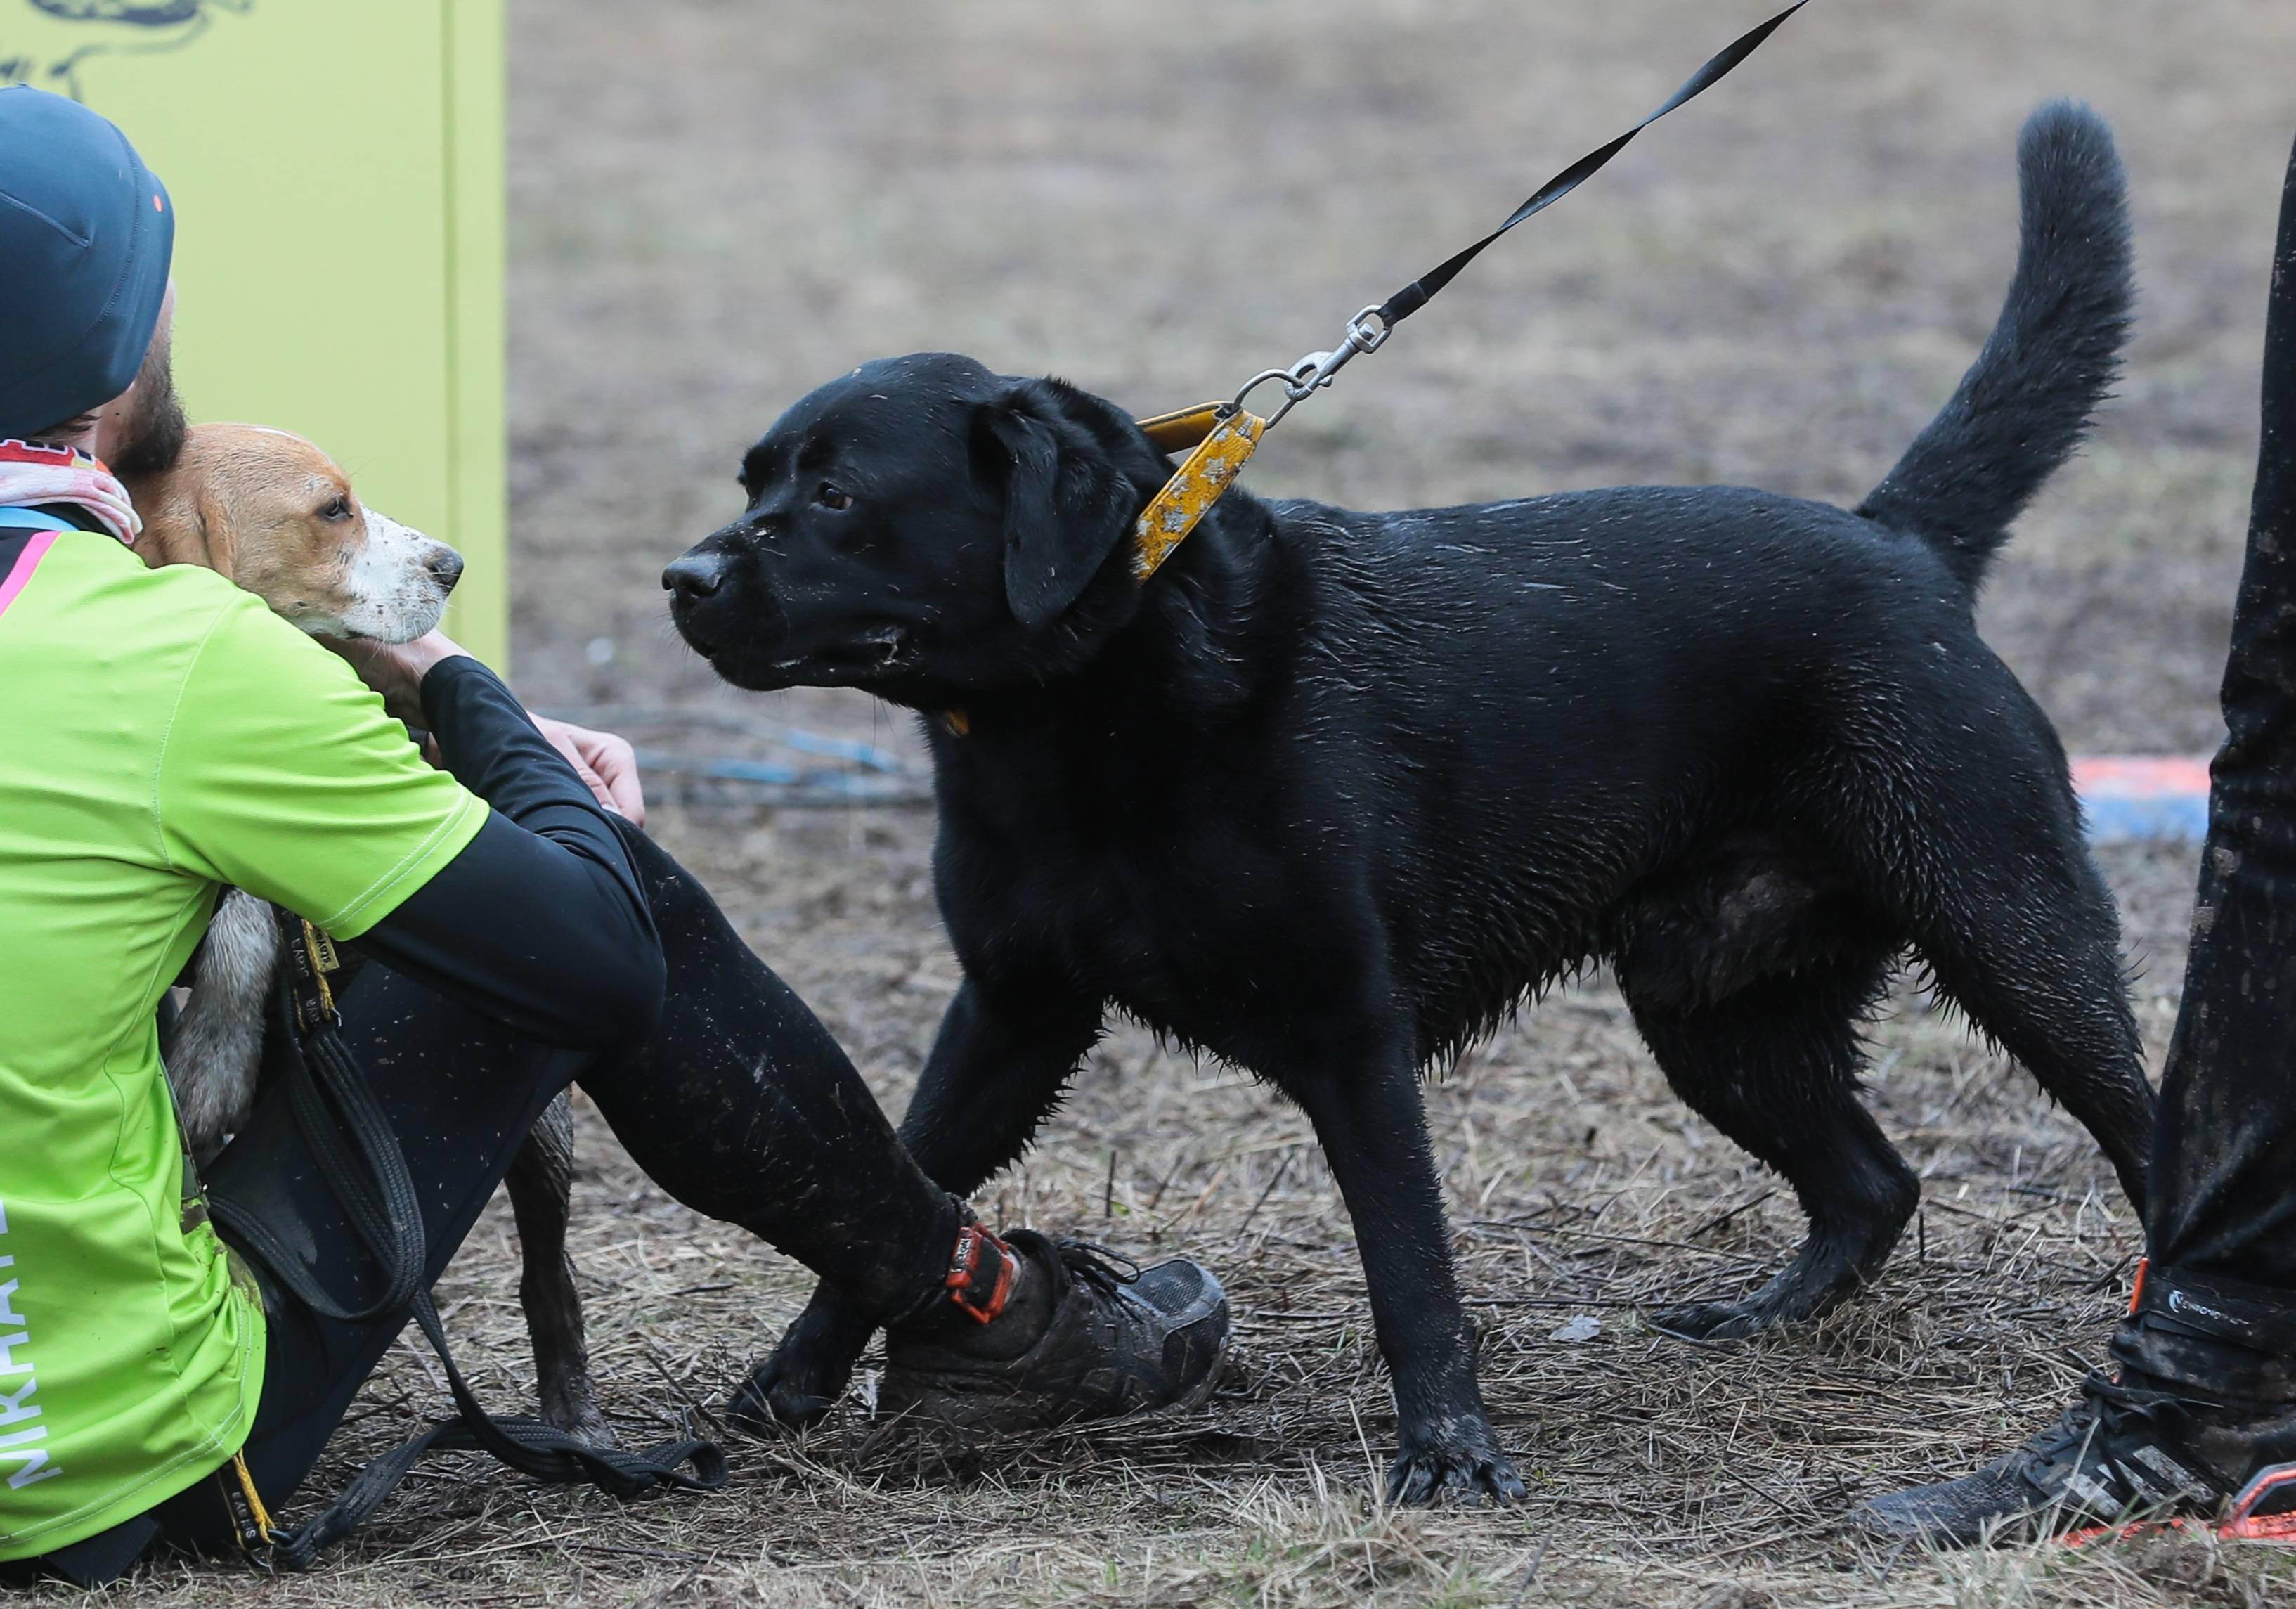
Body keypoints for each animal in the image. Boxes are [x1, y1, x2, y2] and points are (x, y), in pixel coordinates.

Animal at [124, 425, 611, 1441]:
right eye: (332, 510)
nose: (454, 566)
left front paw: (213, 1056)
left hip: (545, 1141)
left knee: (548, 1270)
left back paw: (573, 1406)